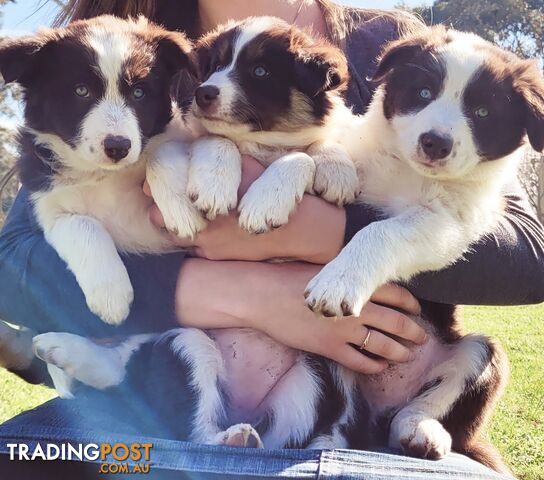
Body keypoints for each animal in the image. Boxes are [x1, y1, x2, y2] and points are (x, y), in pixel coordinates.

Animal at [0, 16, 202, 328]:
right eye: (81, 91)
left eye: (139, 92)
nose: (118, 147)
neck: (104, 173)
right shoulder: (49, 206)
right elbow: (82, 225)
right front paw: (111, 297)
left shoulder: (174, 136)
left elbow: (162, 153)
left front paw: (182, 210)